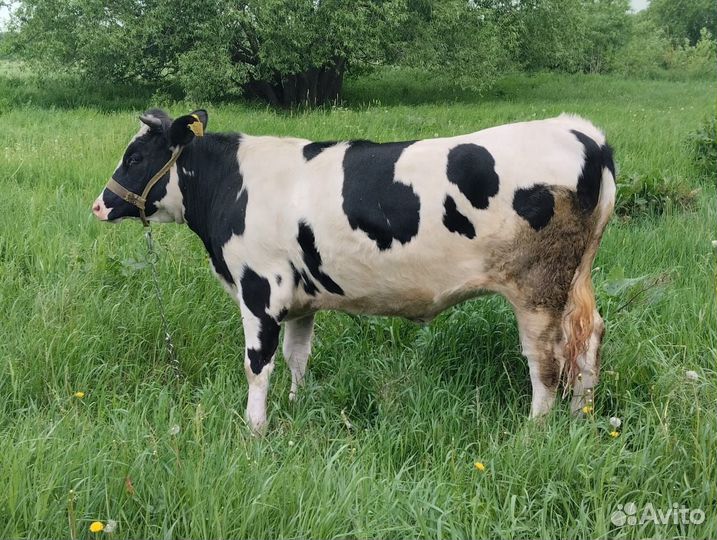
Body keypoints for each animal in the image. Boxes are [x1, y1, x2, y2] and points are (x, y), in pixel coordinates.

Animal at [92, 109, 616, 432]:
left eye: (136, 156)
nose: (100, 204)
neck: (233, 185)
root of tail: (581, 131)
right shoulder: (300, 299)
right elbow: (296, 357)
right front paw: (297, 406)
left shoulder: (259, 290)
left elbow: (257, 365)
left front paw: (255, 428)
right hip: (575, 280)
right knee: (588, 338)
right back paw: (580, 417)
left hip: (538, 289)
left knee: (546, 360)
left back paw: (535, 430)